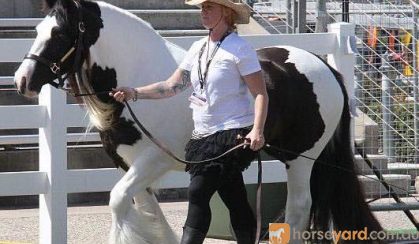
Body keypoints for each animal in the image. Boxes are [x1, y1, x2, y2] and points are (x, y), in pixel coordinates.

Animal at [14, 0, 384, 243]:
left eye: (59, 33)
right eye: (37, 29)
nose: (22, 81)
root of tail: (325, 66)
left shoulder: (154, 160)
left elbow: (118, 201)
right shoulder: (131, 166)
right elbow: (149, 213)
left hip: (300, 159)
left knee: (298, 209)